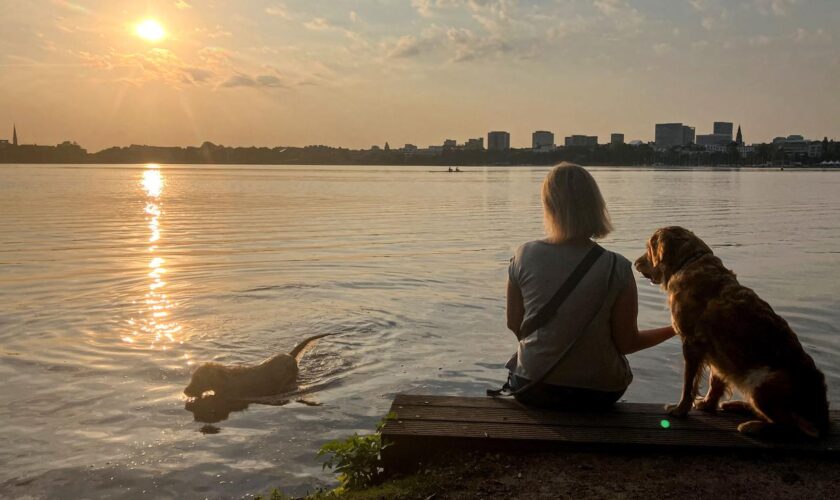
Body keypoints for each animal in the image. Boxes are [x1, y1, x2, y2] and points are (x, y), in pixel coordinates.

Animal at [636, 228, 828, 438]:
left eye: (648, 248)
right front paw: (708, 404)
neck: (689, 262)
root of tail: (823, 417)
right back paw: (737, 405)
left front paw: (680, 410)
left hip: (760, 381)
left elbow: (689, 383)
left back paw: (752, 425)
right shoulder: (717, 352)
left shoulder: (691, 343)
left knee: (797, 427)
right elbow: (716, 381)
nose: (635, 263)